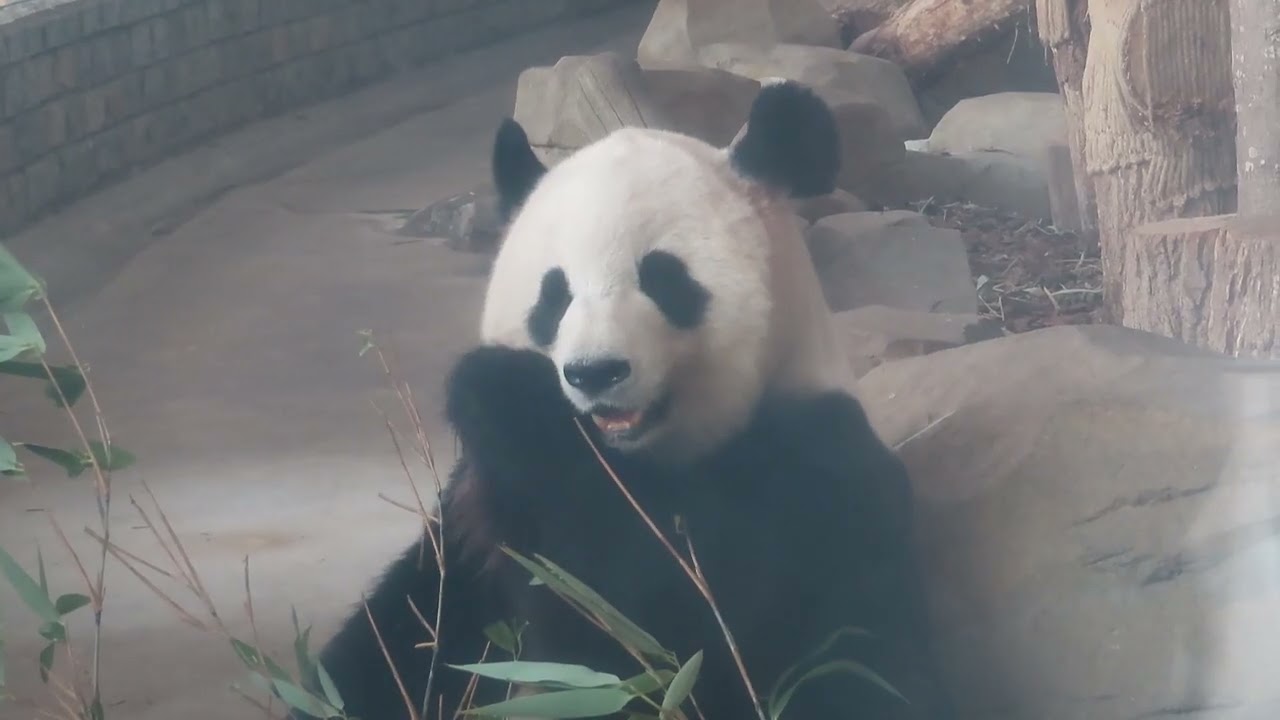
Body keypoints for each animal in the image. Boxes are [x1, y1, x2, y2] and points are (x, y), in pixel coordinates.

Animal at [300, 80, 951, 720]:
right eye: (554, 294)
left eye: (663, 278)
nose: (595, 371)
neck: (640, 460)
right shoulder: (470, 527)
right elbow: (414, 634)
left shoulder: (817, 474)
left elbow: (666, 637)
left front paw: (503, 394)